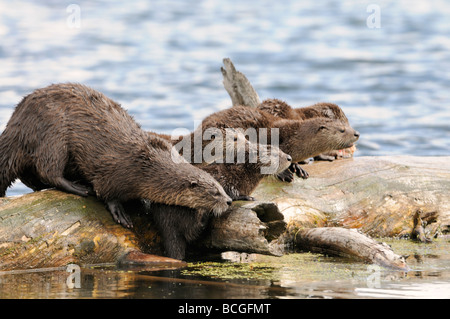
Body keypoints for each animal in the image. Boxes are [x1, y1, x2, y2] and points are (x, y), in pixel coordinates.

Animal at [0, 82, 232, 229]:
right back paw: (78, 187)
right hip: (52, 133)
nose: (229, 201)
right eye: (214, 192)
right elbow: (106, 192)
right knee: (48, 170)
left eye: (221, 187)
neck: (146, 167)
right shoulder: (113, 171)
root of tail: (15, 122)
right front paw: (120, 212)